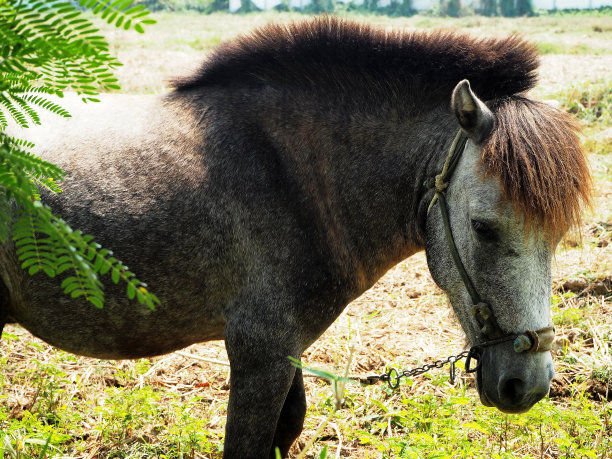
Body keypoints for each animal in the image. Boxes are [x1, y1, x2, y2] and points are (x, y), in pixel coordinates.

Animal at [1, 16, 592, 458]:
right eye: (482, 227)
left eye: (558, 235)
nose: (529, 384)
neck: (293, 176)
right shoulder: (260, 356)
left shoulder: (286, 355)